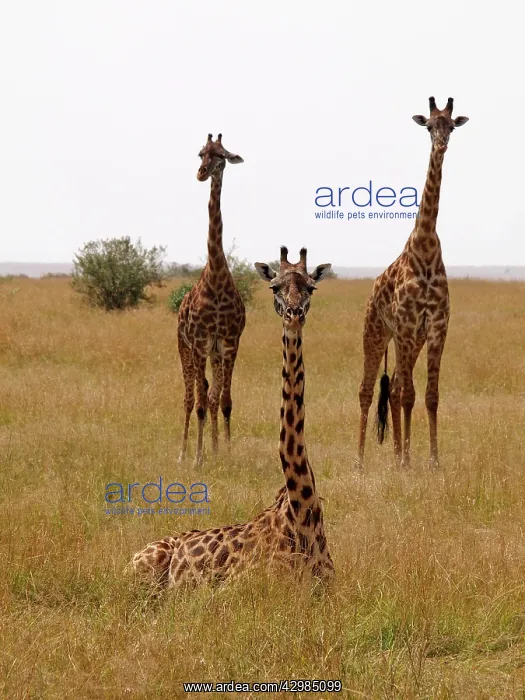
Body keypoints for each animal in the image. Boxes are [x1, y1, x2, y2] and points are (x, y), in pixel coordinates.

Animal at [355, 97, 469, 470]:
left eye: (451, 126)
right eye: (429, 126)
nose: (441, 144)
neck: (426, 245)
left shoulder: (435, 327)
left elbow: (430, 396)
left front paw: (431, 460)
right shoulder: (405, 326)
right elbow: (409, 394)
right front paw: (408, 461)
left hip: (410, 340)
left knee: (392, 389)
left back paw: (396, 454)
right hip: (376, 333)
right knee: (367, 389)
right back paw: (361, 460)